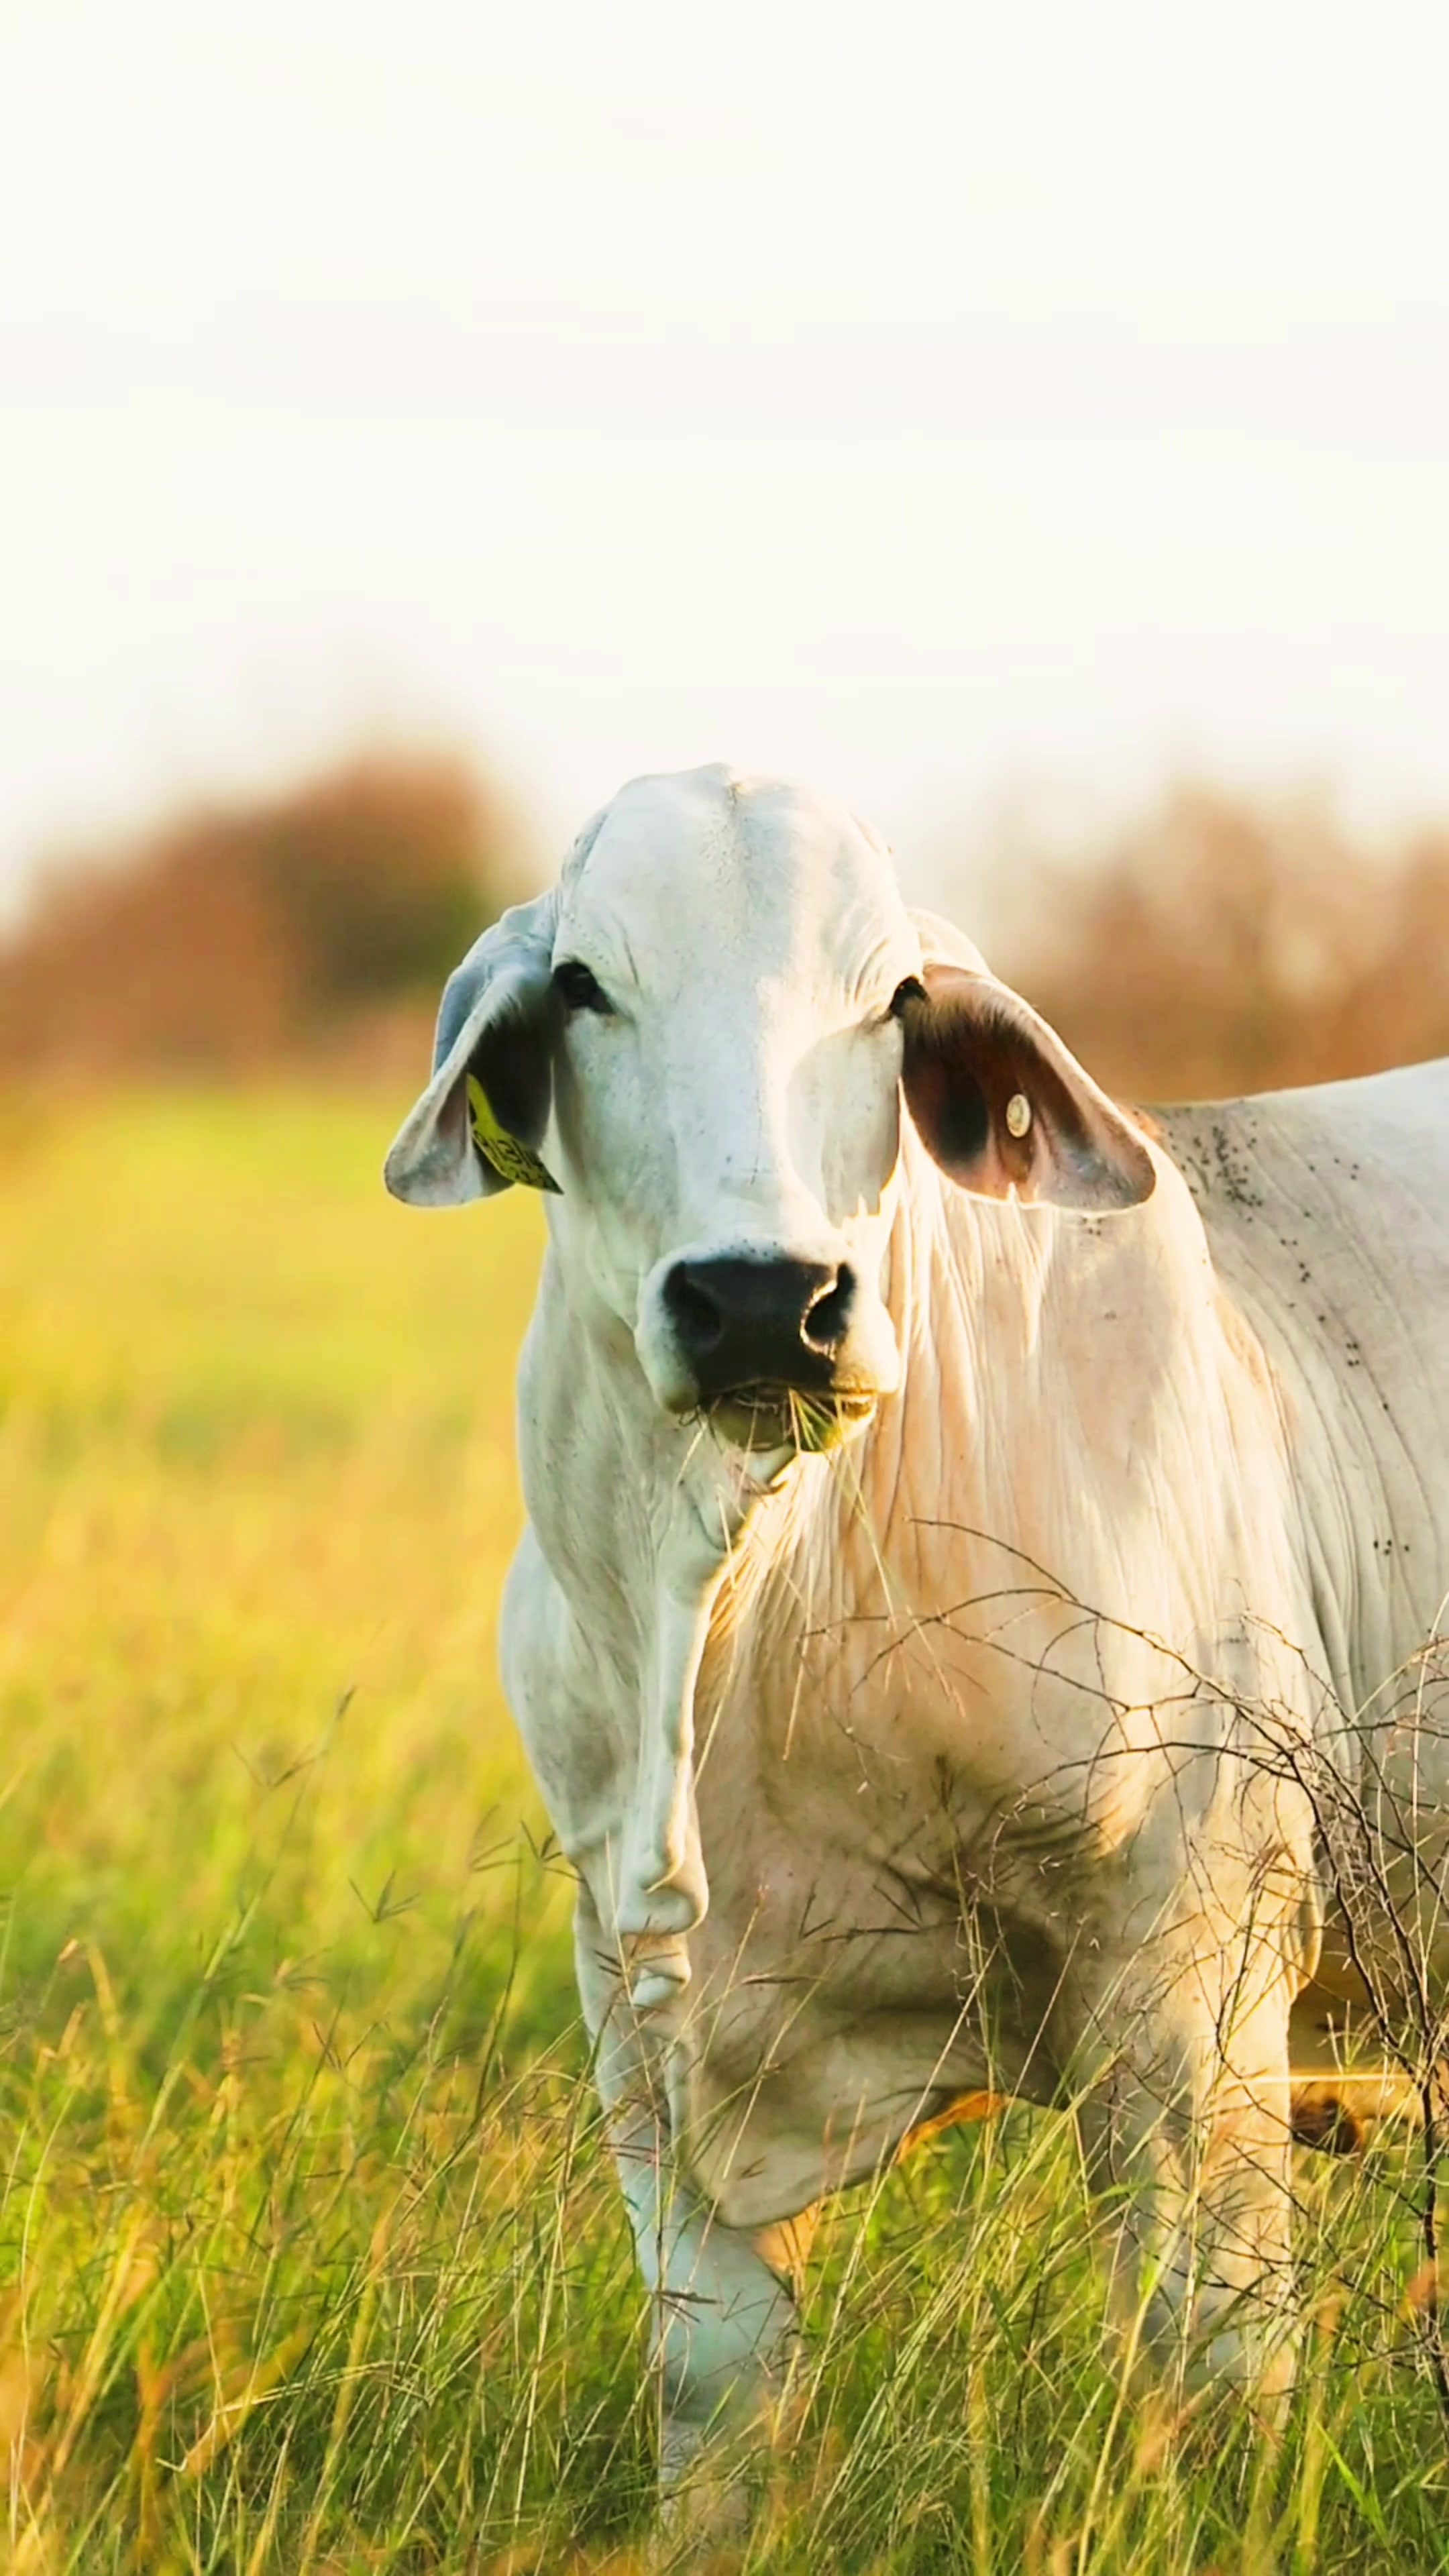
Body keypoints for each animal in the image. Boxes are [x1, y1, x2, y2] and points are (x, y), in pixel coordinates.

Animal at [385, 765, 1449, 2510]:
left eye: (890, 998)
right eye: (584, 984)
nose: (764, 1300)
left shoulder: (1197, 1987)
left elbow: (1215, 2381)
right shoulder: (638, 2013)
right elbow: (720, 2396)